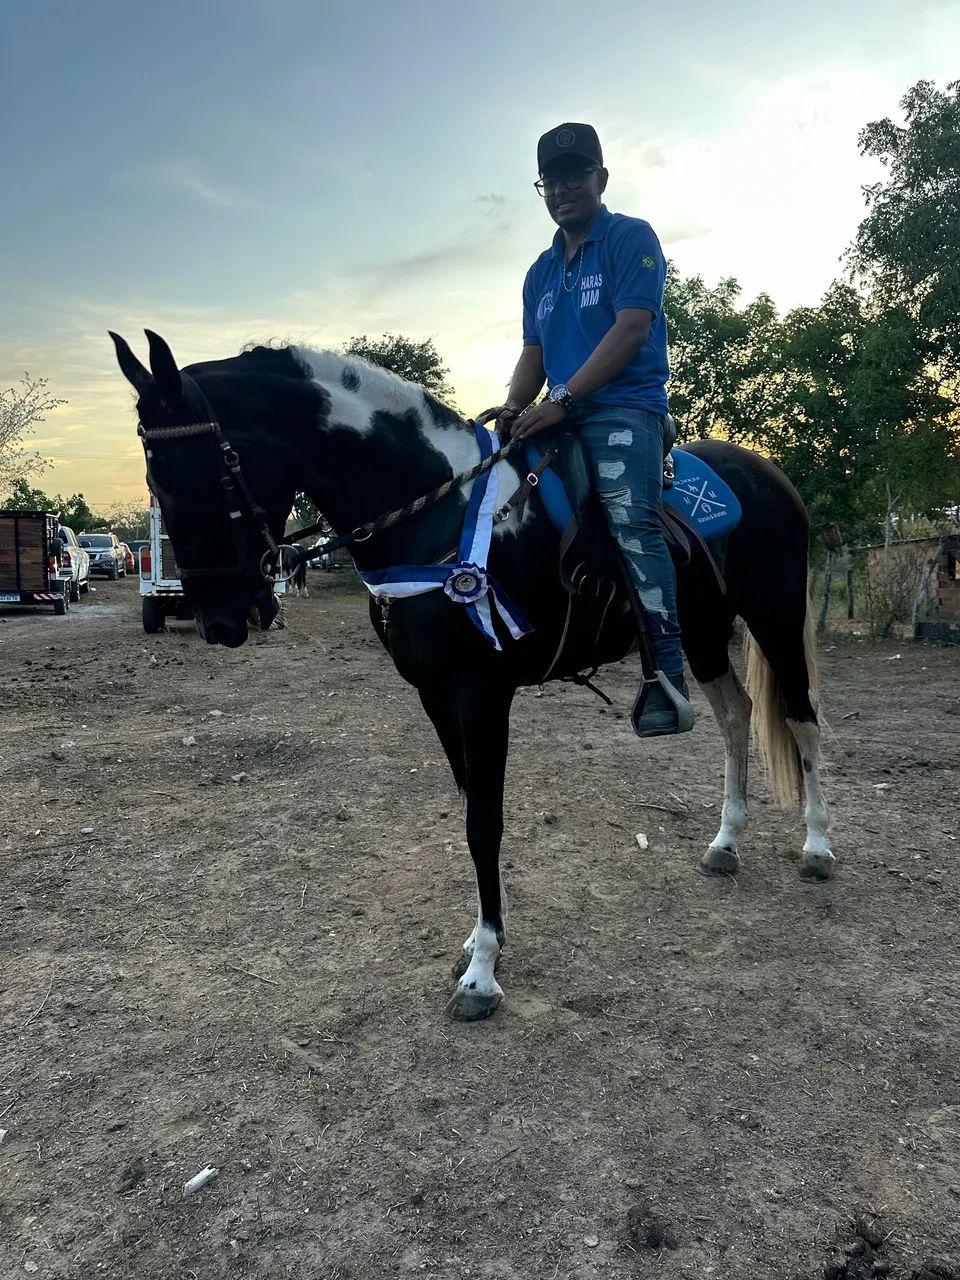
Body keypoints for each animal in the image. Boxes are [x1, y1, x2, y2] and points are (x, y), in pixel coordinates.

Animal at [110, 329, 833, 1021]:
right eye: (154, 475)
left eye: (198, 471)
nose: (220, 620)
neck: (440, 513)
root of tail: (767, 471)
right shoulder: (433, 692)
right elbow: (469, 808)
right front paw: (486, 937)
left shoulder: (481, 691)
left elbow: (483, 821)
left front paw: (482, 973)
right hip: (707, 632)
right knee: (738, 716)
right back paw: (726, 843)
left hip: (773, 616)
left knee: (801, 720)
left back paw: (818, 847)